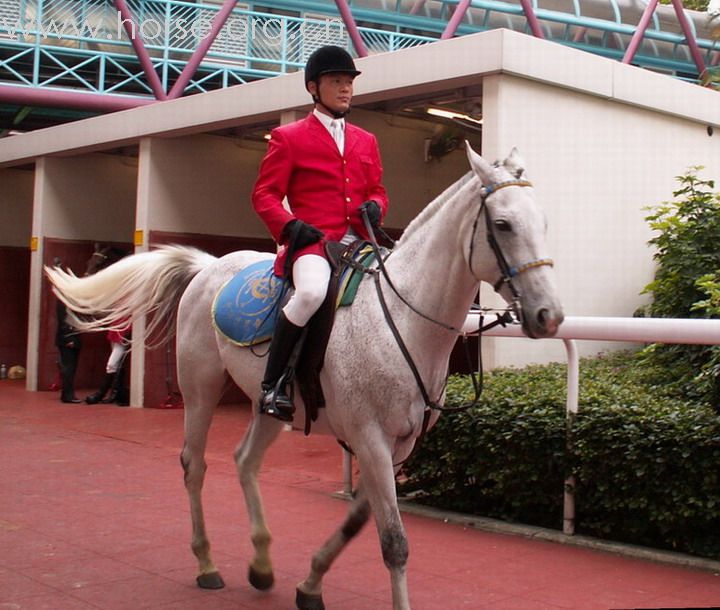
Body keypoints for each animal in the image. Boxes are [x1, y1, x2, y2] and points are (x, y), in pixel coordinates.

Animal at [46, 144, 564, 608]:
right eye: (503, 224)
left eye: (543, 223)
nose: (549, 316)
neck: (401, 316)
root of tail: (210, 264)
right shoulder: (370, 437)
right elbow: (393, 541)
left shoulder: (400, 444)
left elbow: (358, 521)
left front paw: (310, 583)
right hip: (199, 388)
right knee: (195, 464)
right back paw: (207, 564)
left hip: (269, 407)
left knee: (245, 461)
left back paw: (260, 566)